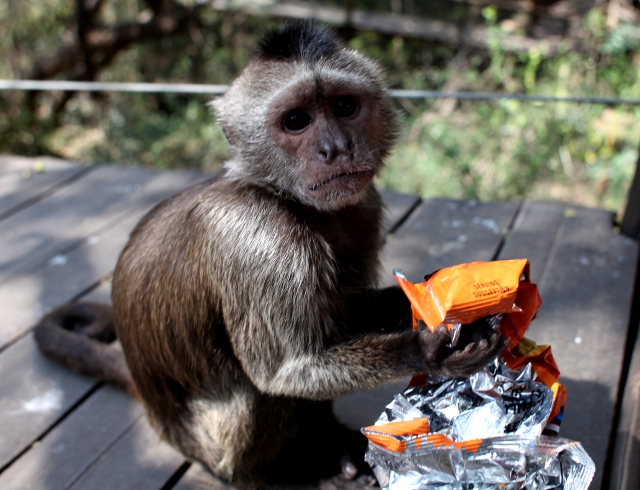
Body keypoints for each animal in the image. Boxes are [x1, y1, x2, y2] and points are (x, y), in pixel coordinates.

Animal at [34, 21, 507, 489]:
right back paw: (282, 472)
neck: (288, 199)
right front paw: (426, 353)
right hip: (213, 448)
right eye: (297, 120)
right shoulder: (258, 237)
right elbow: (282, 371)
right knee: (258, 389)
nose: (336, 148)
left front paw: (434, 296)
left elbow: (341, 317)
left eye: (345, 107)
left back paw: (329, 442)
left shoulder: (364, 208)